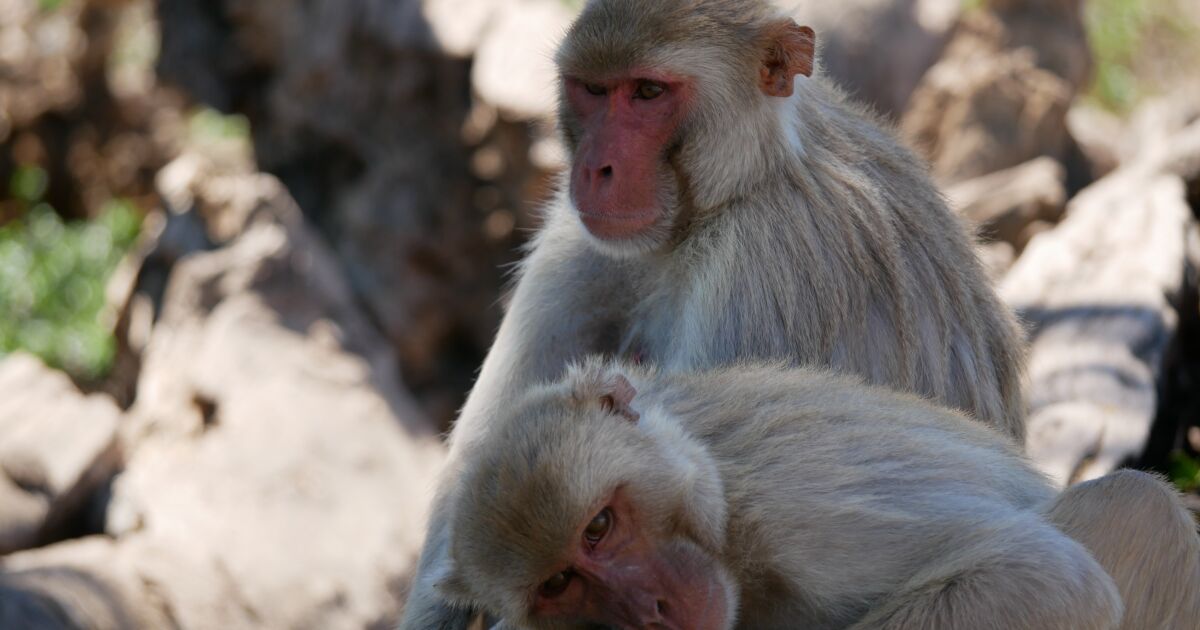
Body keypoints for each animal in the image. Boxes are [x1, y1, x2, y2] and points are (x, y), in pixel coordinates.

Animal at [400, 1, 1027, 626]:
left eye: (648, 92)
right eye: (593, 90)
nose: (595, 169)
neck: (739, 187)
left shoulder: (768, 263)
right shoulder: (575, 237)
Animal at [436, 359, 1200, 630]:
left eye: (598, 527)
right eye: (559, 583)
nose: (648, 610)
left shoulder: (802, 510)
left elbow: (1046, 578)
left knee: (1141, 509)